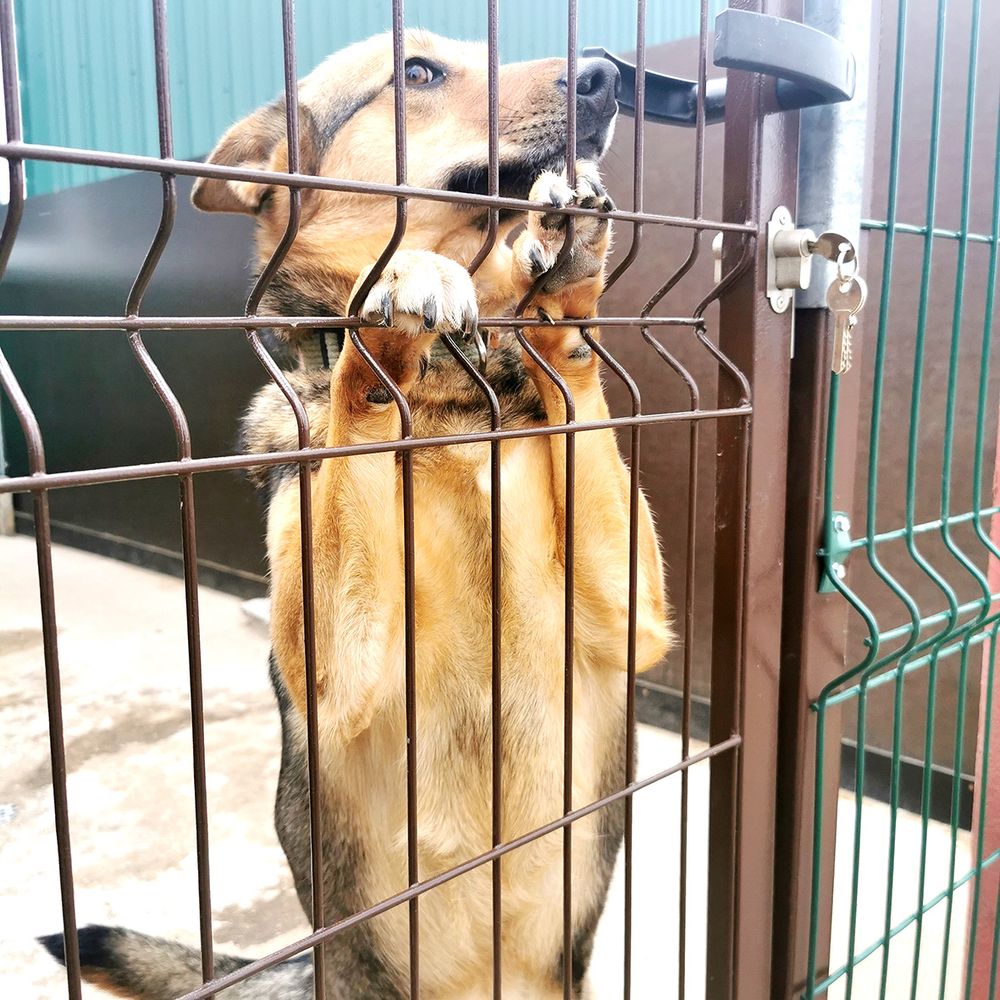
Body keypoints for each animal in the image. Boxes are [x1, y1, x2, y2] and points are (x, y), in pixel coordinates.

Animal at [40, 30, 671, 999]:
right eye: (416, 72)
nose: (608, 73)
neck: (453, 390)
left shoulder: (630, 616)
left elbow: (570, 369)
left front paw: (563, 280)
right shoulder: (338, 671)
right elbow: (359, 387)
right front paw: (400, 282)